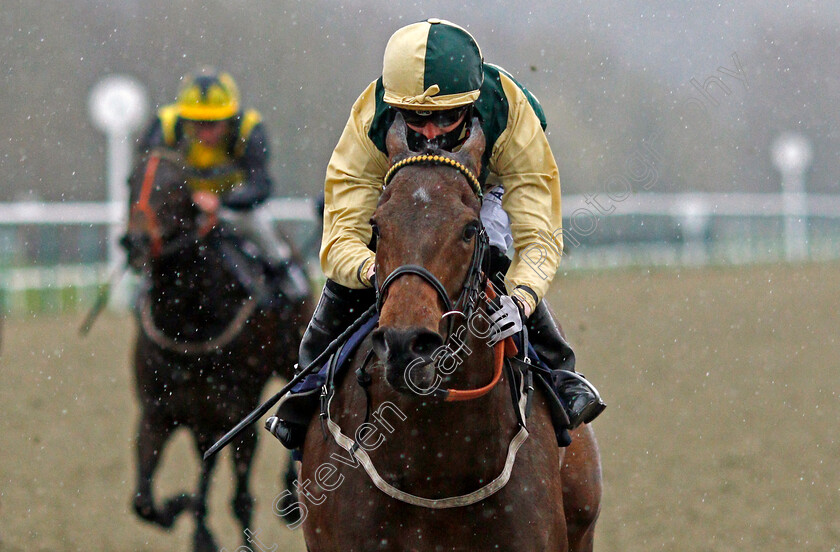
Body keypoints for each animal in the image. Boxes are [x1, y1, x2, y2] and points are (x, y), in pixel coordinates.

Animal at [120, 149, 314, 548]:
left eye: (174, 187)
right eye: (130, 181)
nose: (136, 242)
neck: (188, 318)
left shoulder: (236, 412)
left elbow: (241, 500)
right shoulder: (157, 413)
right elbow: (143, 501)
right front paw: (183, 508)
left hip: (287, 356)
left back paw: (289, 495)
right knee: (204, 461)